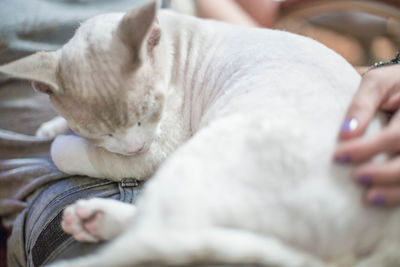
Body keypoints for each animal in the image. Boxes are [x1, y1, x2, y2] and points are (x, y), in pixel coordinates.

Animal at [0, 2, 400, 267]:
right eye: (99, 129)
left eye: (149, 112)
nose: (134, 147)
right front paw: (51, 125)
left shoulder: (160, 146)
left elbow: (65, 151)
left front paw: (60, 140)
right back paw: (93, 219)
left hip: (202, 155)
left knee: (159, 238)